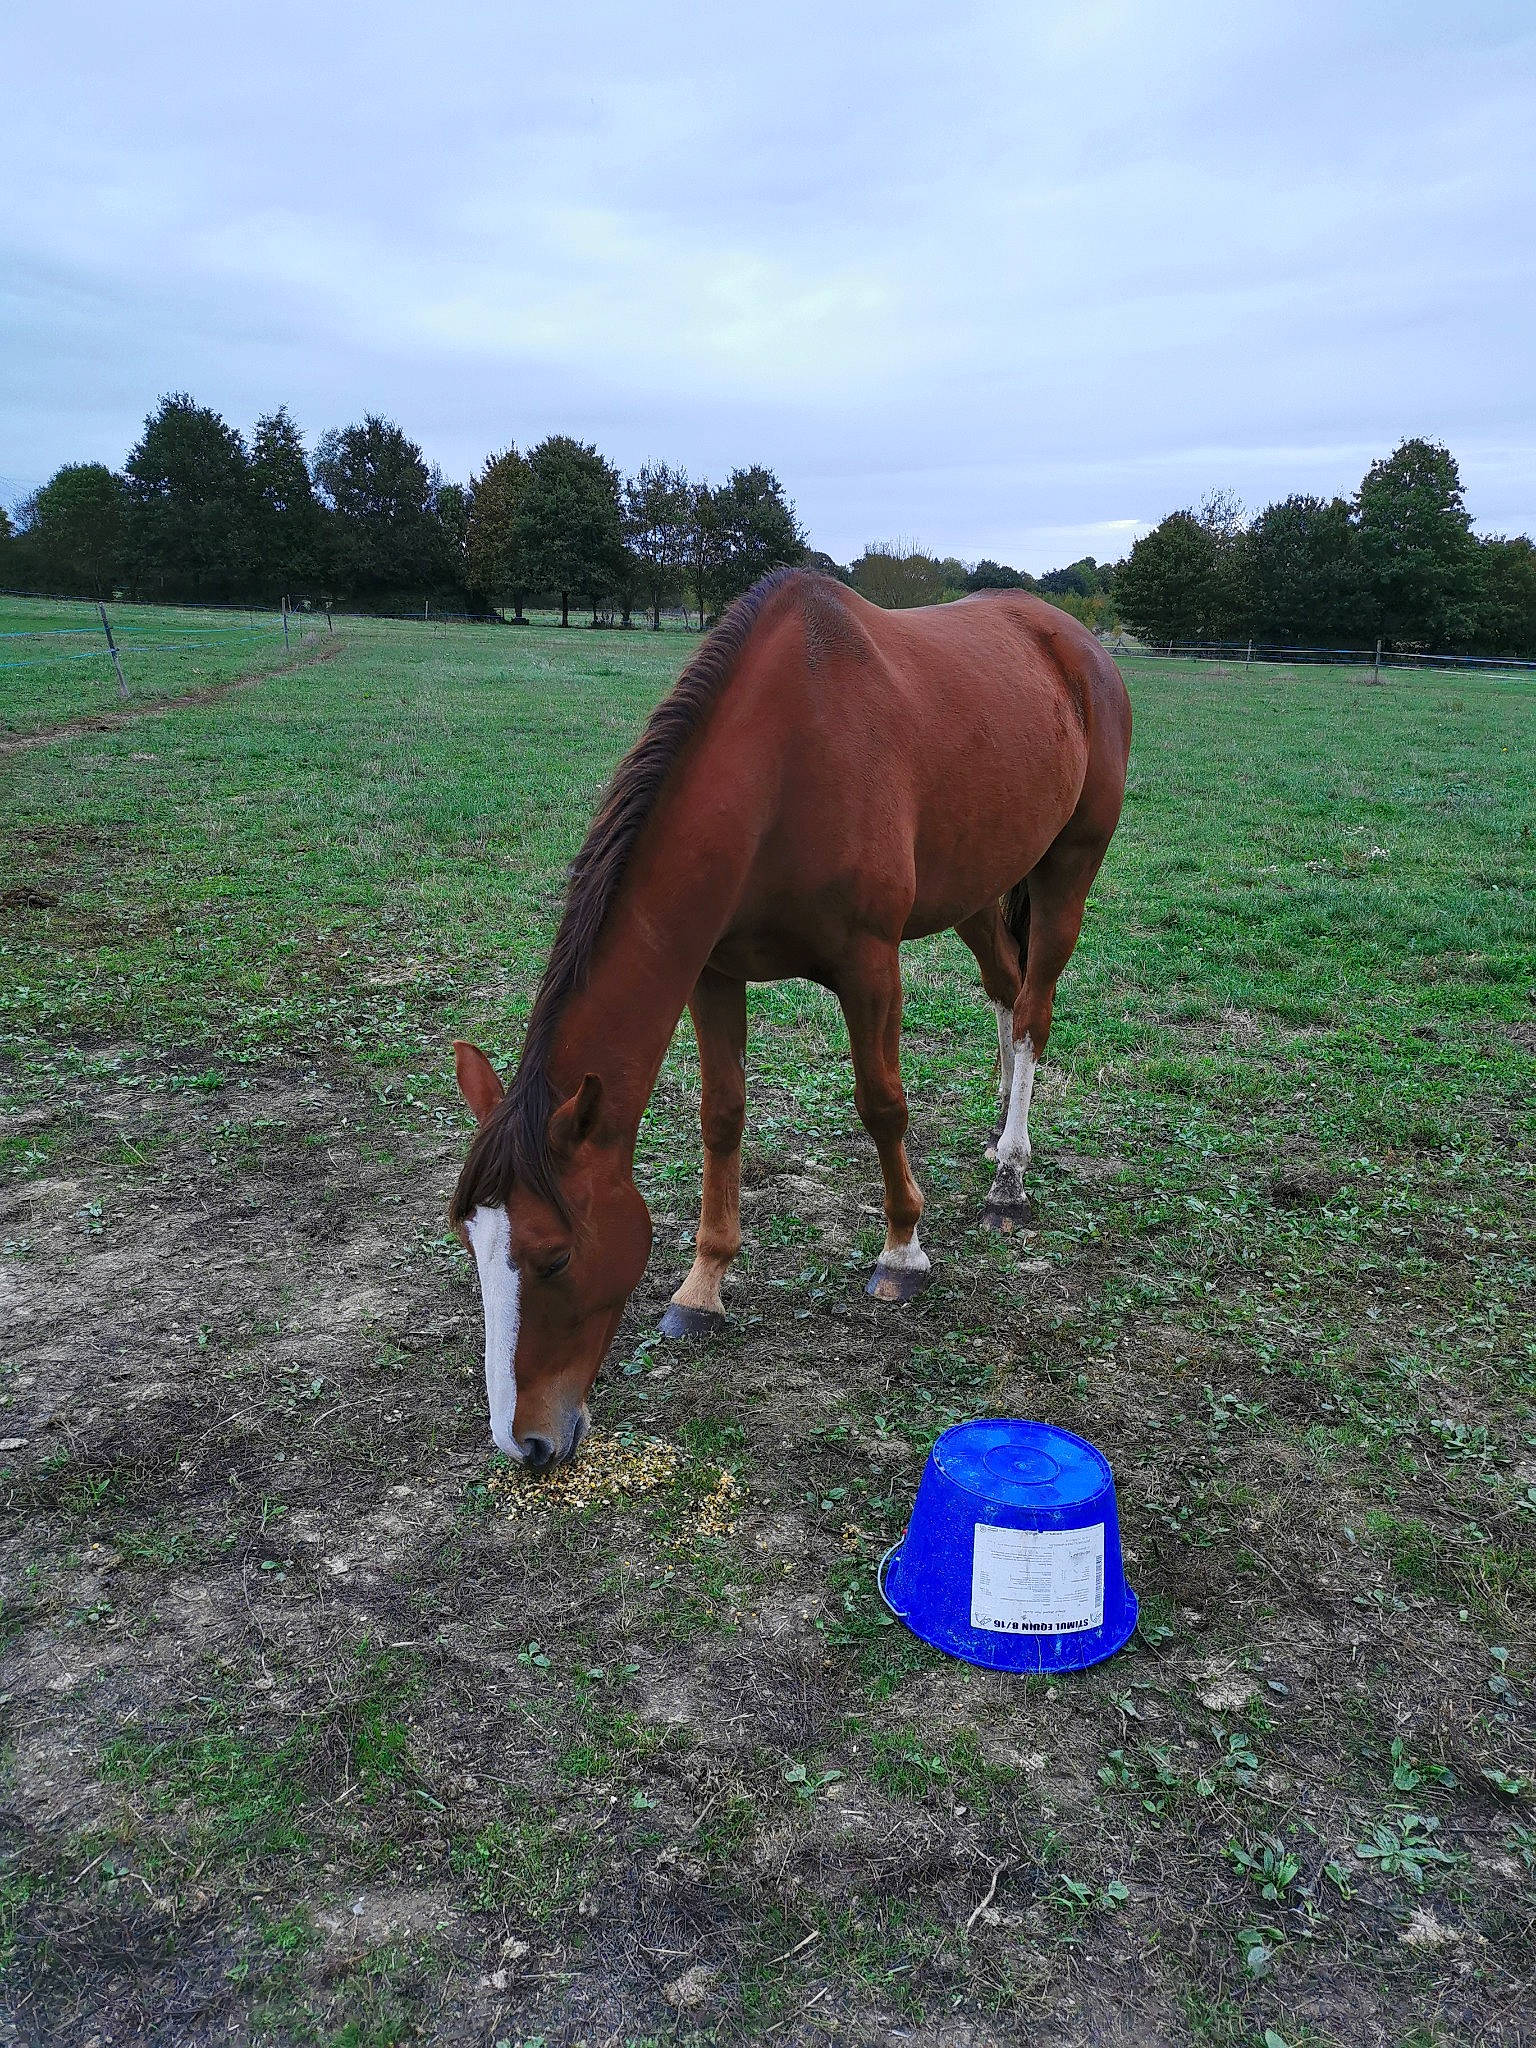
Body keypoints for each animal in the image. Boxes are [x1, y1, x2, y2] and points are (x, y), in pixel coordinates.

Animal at [450, 568, 1131, 1466]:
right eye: (471, 1242)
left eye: (554, 1257)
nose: (525, 1443)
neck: (784, 766)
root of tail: (1078, 643)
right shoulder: (712, 973)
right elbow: (722, 1118)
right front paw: (702, 1288)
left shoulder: (869, 965)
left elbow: (882, 1105)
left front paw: (903, 1251)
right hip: (978, 887)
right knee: (1005, 987)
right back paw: (997, 1132)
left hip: (1067, 871)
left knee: (1032, 1011)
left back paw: (1009, 1176)